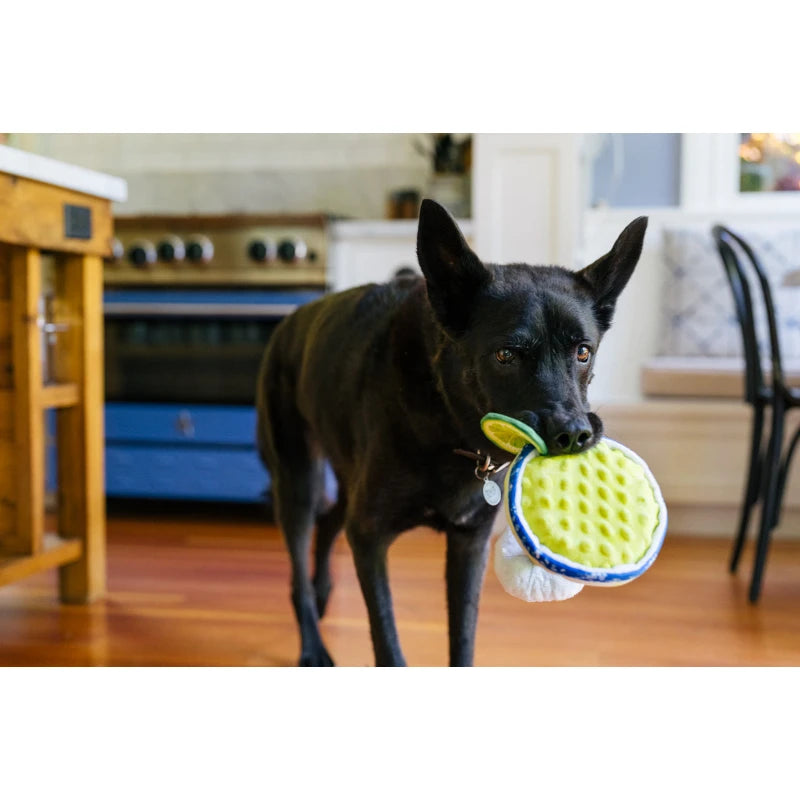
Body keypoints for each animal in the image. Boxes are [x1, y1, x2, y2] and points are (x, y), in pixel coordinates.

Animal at [260, 198, 648, 664]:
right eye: (505, 355)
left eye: (583, 352)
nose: (573, 435)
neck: (449, 423)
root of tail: (288, 322)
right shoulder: (370, 538)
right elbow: (387, 641)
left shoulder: (469, 542)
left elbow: (463, 635)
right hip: (296, 481)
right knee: (300, 559)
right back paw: (312, 643)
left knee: (331, 519)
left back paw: (322, 595)